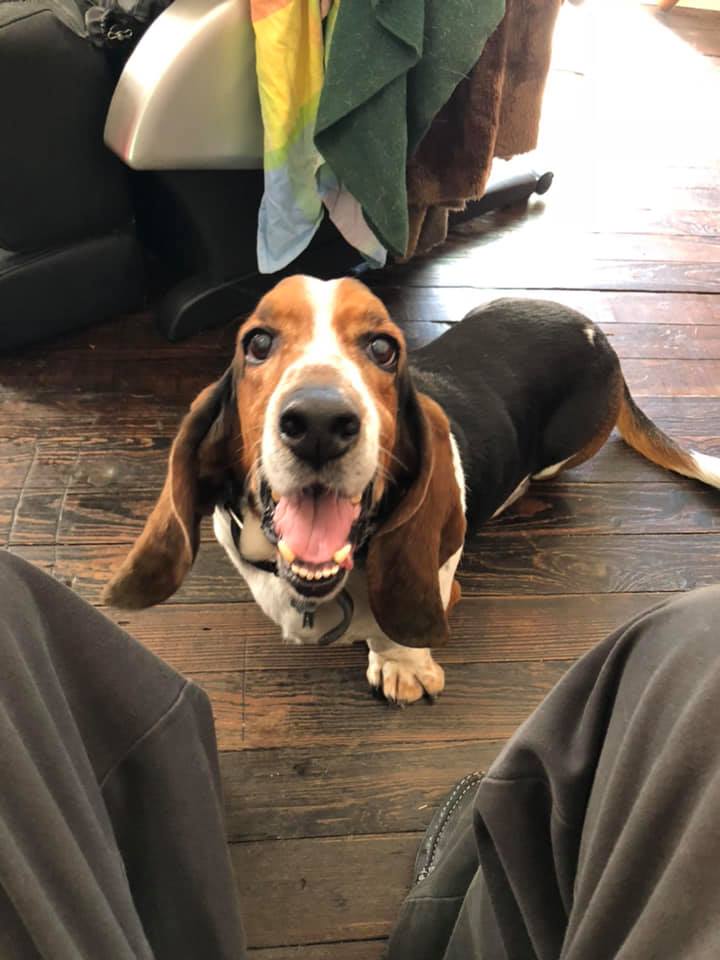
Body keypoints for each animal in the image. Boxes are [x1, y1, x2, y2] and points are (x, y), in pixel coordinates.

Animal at [105, 278, 720, 704]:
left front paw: (401, 664)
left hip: (563, 448)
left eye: (383, 349)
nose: (320, 421)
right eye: (257, 343)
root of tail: (596, 332)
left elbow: (395, 627)